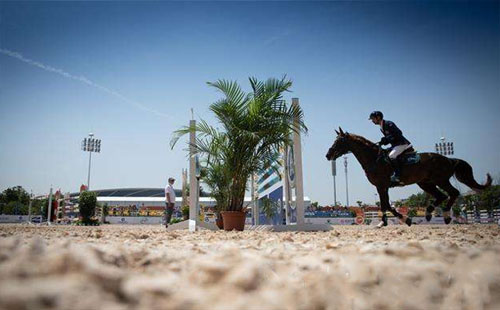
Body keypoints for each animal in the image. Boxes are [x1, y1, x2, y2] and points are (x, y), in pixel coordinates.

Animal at [324, 127, 492, 226]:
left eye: (339, 141)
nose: (328, 155)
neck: (374, 158)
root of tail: (449, 159)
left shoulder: (382, 186)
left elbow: (386, 205)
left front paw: (400, 220)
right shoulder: (381, 187)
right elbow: (386, 205)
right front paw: (395, 220)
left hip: (440, 180)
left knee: (453, 193)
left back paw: (445, 215)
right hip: (425, 183)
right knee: (441, 196)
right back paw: (429, 213)